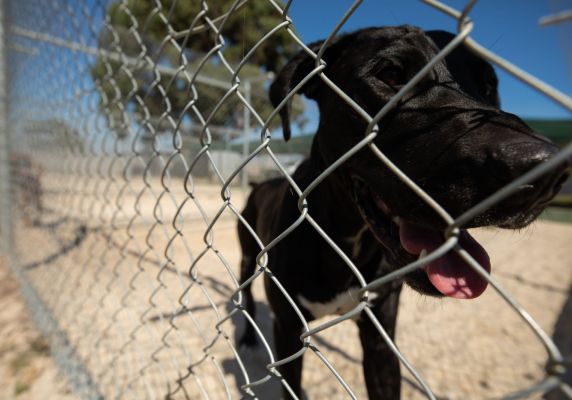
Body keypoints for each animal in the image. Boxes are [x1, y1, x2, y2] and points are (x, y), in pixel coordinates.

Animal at [236, 26, 568, 398]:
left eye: (488, 87)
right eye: (391, 75)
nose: (546, 174)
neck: (346, 242)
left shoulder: (381, 338)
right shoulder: (288, 332)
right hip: (247, 256)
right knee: (247, 298)